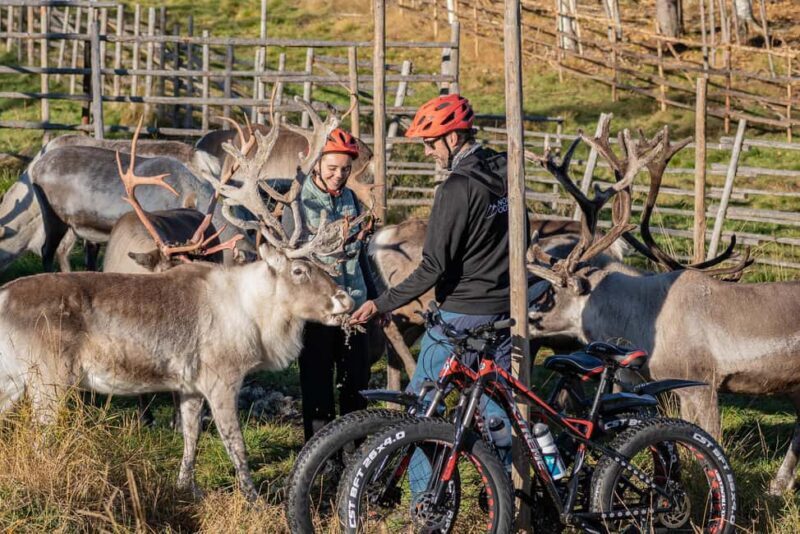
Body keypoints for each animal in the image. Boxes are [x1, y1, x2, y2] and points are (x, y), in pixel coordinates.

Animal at [0, 100, 357, 501]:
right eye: (299, 271)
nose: (345, 298)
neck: (253, 314)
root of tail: (3, 296)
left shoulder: (189, 386)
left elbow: (191, 436)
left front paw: (187, 486)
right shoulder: (222, 378)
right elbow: (235, 444)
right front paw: (252, 497)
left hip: (11, 380)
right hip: (48, 382)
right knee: (40, 441)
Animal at [523, 115, 800, 495]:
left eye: (556, 289)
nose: (525, 317)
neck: (638, 316)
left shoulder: (702, 383)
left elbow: (709, 441)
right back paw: (778, 485)